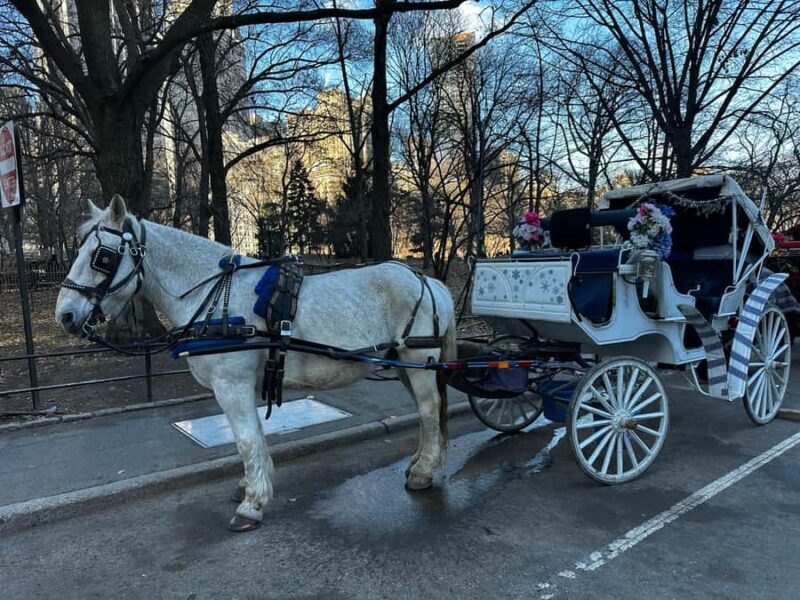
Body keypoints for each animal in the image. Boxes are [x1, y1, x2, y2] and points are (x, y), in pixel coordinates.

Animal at [55, 195, 456, 531]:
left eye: (102, 256)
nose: (65, 315)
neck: (214, 297)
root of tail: (428, 280)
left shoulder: (231, 385)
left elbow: (247, 441)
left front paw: (252, 505)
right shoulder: (242, 386)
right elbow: (252, 439)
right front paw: (252, 485)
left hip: (418, 360)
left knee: (428, 408)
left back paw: (424, 471)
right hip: (405, 364)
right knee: (426, 412)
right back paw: (421, 461)